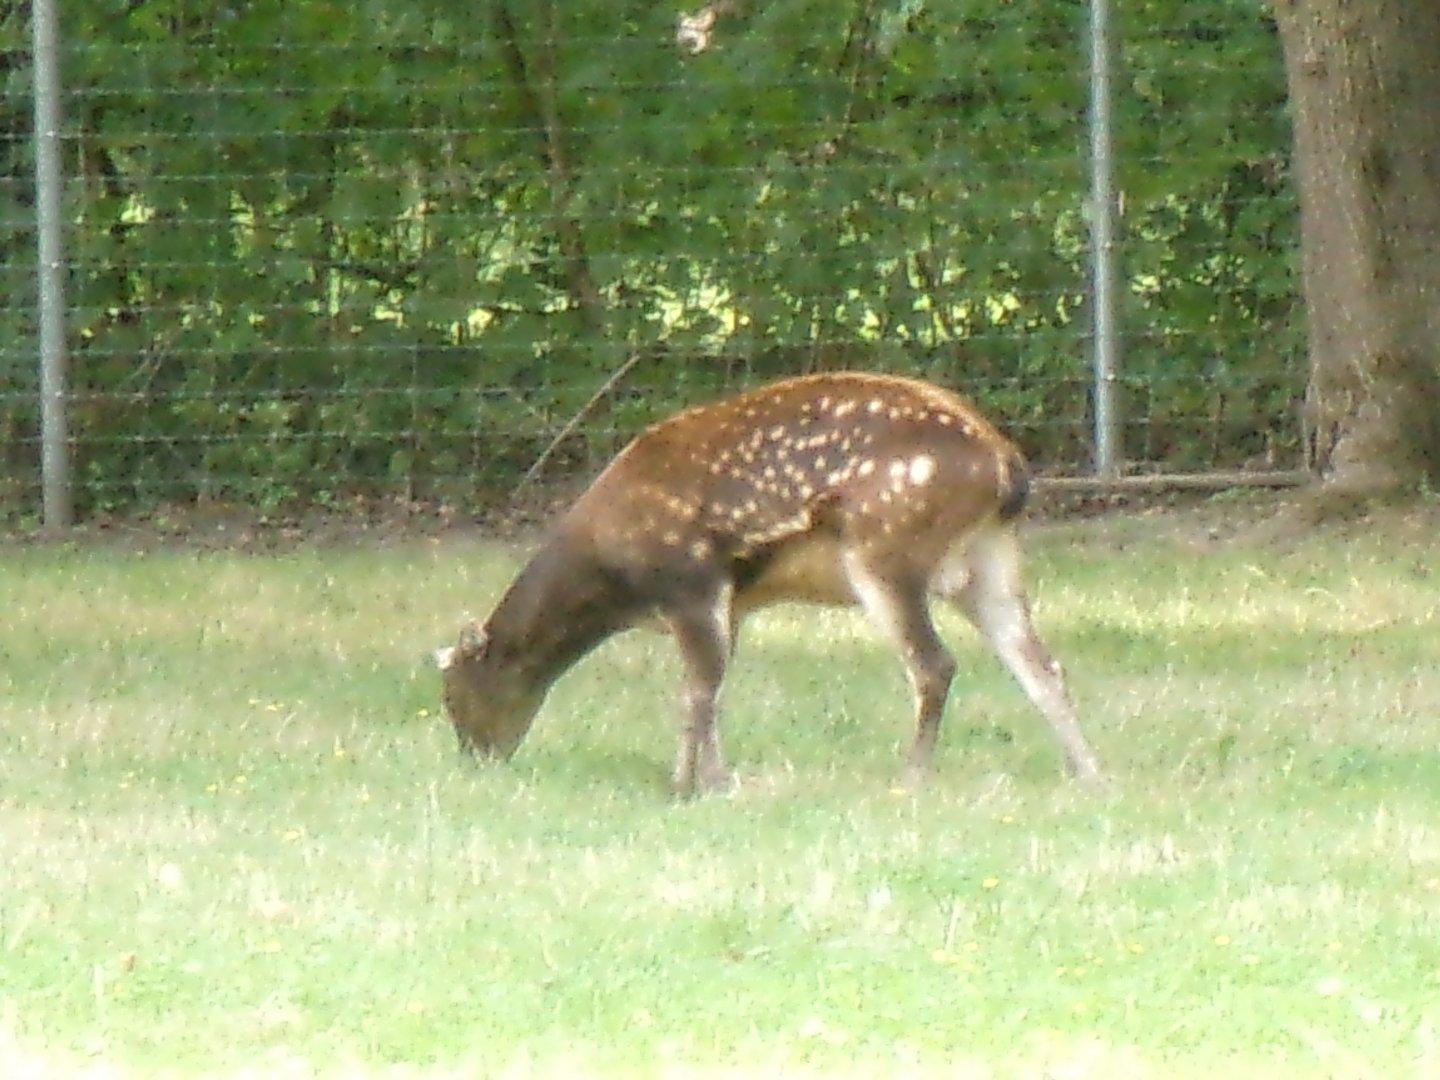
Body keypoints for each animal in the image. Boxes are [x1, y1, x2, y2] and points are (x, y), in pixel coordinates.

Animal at [436, 372, 1102, 797]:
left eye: (456, 695)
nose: (477, 757)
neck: (616, 579)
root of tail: (1008, 467)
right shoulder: (732, 604)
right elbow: (714, 692)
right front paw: (716, 780)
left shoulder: (690, 581)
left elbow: (695, 692)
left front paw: (684, 785)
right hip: (989, 559)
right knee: (1040, 664)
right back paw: (1088, 774)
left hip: (886, 546)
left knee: (933, 664)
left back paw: (910, 779)